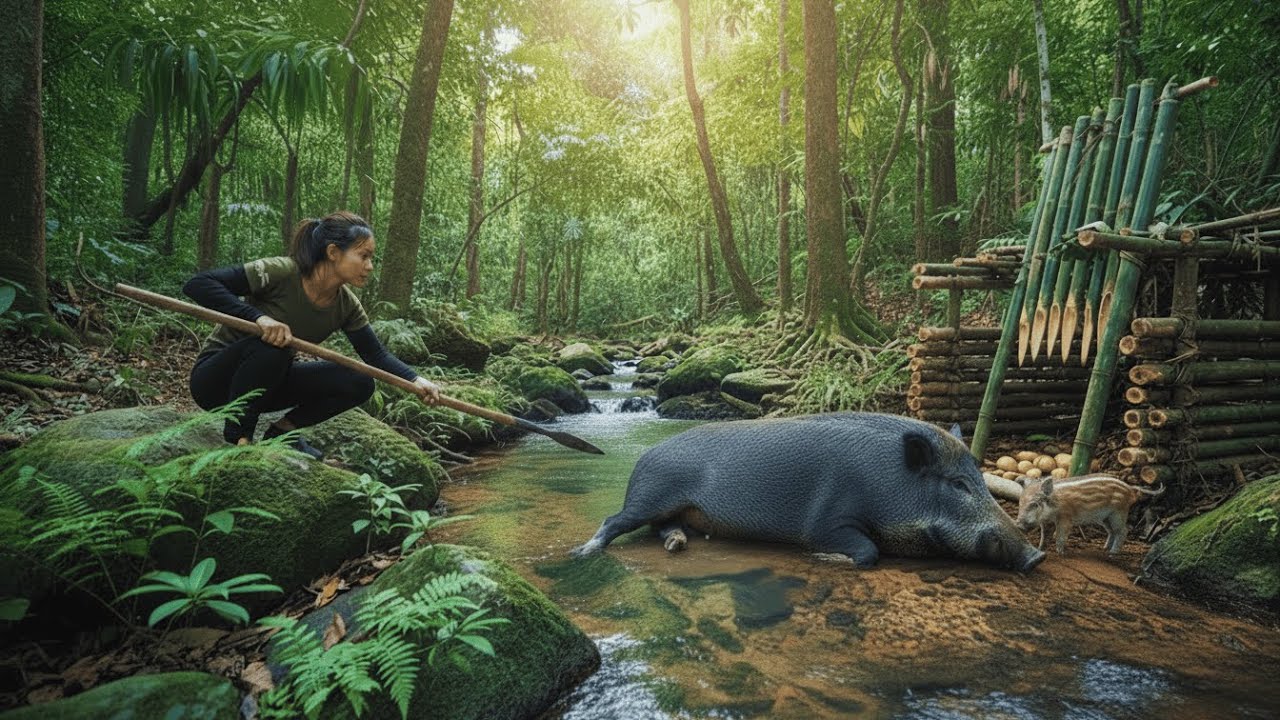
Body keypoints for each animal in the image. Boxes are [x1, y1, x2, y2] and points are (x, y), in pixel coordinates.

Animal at [571, 412, 1046, 572]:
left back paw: (676, 545)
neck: (888, 484)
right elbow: (868, 552)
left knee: (662, 529)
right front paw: (823, 559)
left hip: (672, 508)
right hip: (649, 496)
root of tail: (645, 454)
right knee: (615, 520)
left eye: (981, 479)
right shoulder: (828, 520)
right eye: (958, 485)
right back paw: (582, 553)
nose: (1037, 556)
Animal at [1015, 474, 1165, 555]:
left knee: (1123, 531)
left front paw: (1061, 553)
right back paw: (1105, 548)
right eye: (1020, 502)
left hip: (1118, 513)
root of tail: (1131, 490)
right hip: (1104, 519)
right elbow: (1044, 536)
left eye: (1035, 504)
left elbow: (1060, 535)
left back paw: (1112, 553)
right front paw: (1040, 548)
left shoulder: (1066, 518)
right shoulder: (1046, 522)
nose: (1019, 526)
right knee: (1112, 532)